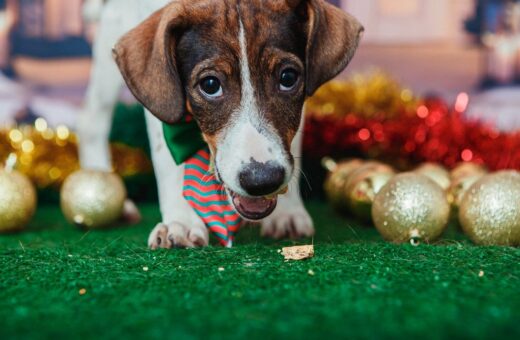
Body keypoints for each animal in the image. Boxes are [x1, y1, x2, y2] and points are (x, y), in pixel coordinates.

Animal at [77, 0, 362, 250]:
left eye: (288, 78)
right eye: (210, 84)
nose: (262, 180)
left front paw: (288, 212)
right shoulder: (162, 95)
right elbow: (168, 160)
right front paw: (180, 221)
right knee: (92, 125)